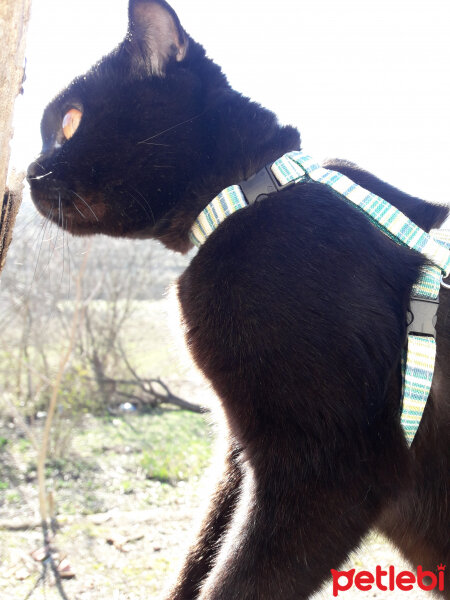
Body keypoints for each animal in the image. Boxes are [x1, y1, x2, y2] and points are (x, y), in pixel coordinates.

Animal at [28, 1, 450, 600]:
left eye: (68, 123)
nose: (27, 171)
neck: (249, 193)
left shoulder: (328, 469)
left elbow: (236, 580)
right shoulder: (239, 453)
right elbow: (201, 553)